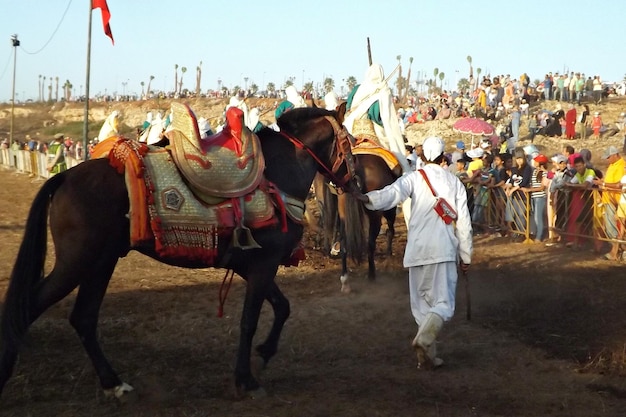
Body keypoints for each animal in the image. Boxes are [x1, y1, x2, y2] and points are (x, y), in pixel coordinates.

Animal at [0, 106, 356, 400]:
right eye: (351, 141)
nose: (354, 184)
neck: (276, 176)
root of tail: (63, 176)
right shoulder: (262, 266)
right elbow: (250, 321)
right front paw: (246, 379)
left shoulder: (252, 266)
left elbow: (282, 307)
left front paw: (265, 352)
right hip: (75, 263)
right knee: (30, 308)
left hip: (101, 263)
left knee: (83, 318)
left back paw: (114, 383)